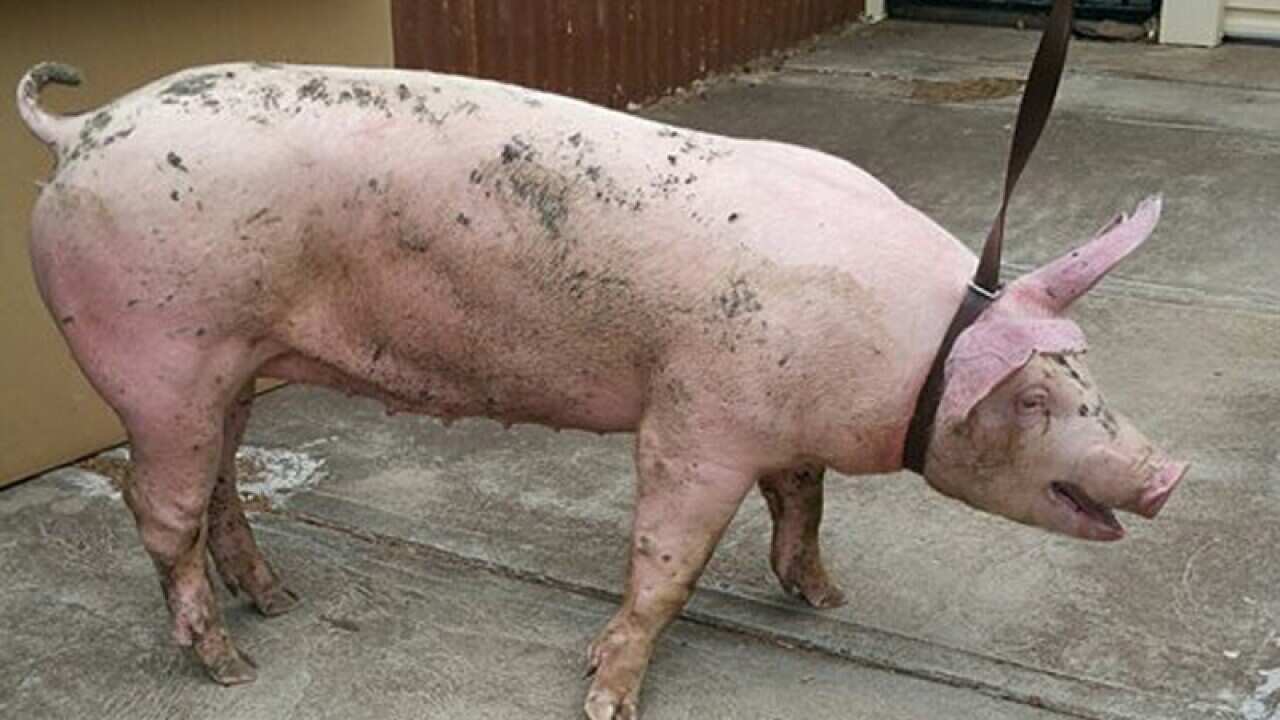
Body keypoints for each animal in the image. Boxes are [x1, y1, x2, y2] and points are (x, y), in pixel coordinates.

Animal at [18, 61, 1186, 719]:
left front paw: (823, 599)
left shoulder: (780, 423)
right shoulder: (696, 422)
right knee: (158, 506)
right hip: (161, 357)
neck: (904, 351)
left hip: (233, 366)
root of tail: (80, 133)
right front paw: (605, 697)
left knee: (221, 483)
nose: (1168, 472)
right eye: (1033, 402)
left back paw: (279, 602)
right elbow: (667, 563)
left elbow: (802, 504)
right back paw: (230, 667)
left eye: (1084, 372)